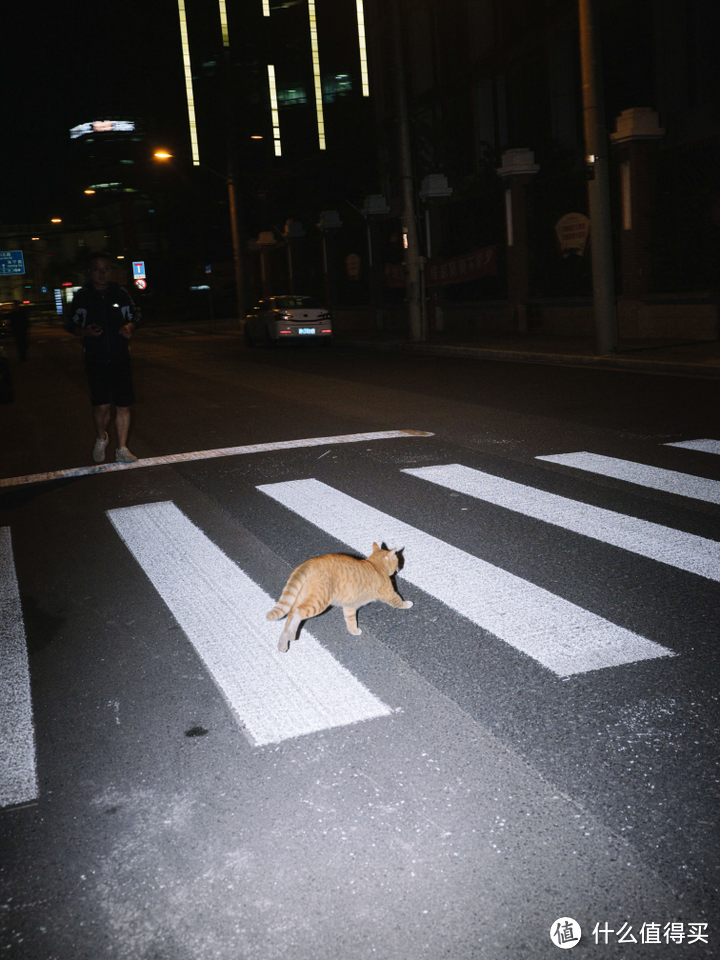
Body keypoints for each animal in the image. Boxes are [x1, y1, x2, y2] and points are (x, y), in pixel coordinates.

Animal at [266, 540, 414, 652]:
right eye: (397, 559)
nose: (399, 568)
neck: (375, 565)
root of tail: (312, 562)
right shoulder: (390, 594)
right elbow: (399, 601)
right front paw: (408, 604)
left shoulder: (349, 606)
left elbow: (350, 621)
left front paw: (353, 631)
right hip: (318, 602)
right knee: (298, 612)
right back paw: (291, 633)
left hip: (301, 597)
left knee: (289, 619)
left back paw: (283, 643)